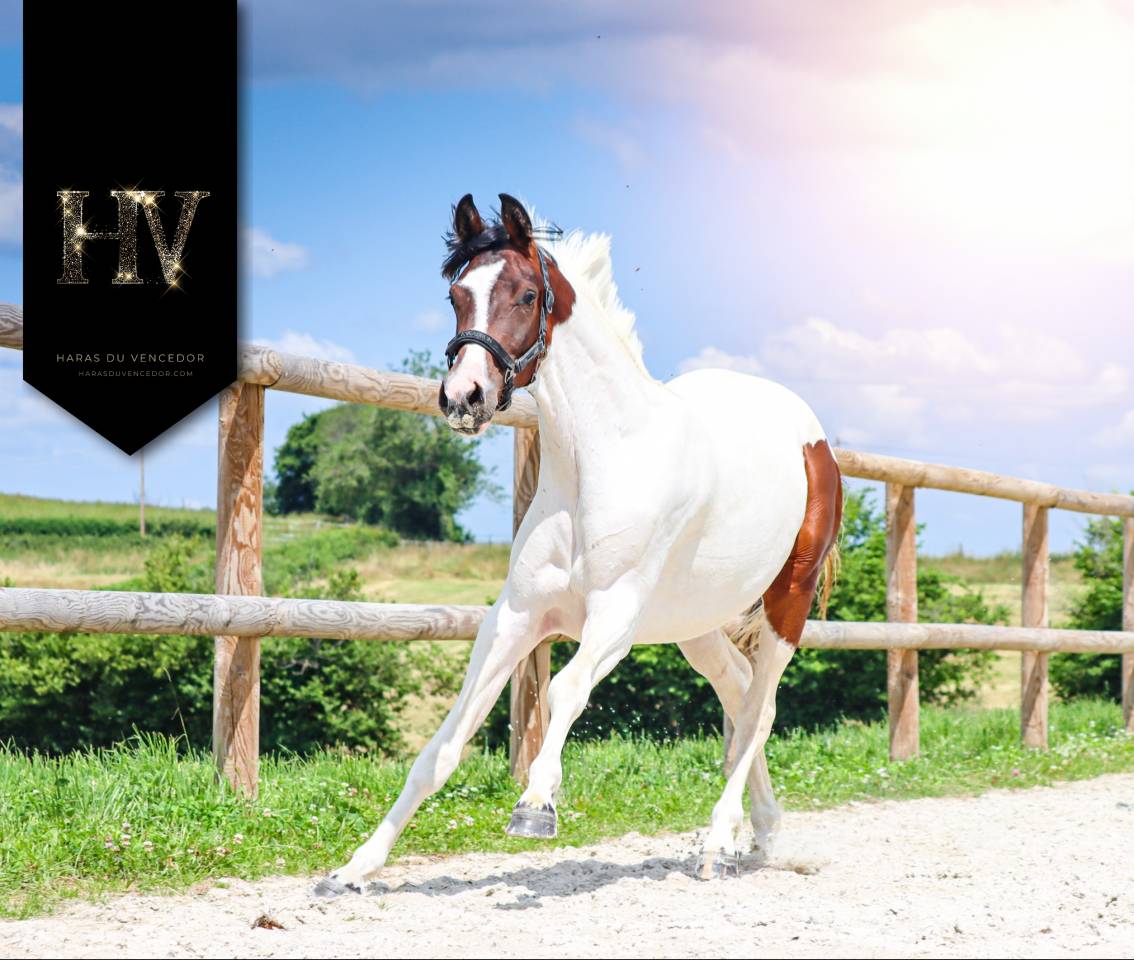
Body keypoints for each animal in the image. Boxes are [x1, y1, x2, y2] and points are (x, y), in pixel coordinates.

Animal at [316, 193, 842, 895]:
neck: (601, 459)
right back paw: (758, 833)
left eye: (527, 294)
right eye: (457, 294)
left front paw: (536, 805)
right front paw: (356, 867)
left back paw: (717, 842)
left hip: (789, 601)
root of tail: (809, 433)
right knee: (738, 688)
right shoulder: (516, 618)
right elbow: (445, 743)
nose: (463, 398)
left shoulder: (614, 618)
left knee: (761, 708)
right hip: (695, 622)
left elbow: (565, 691)